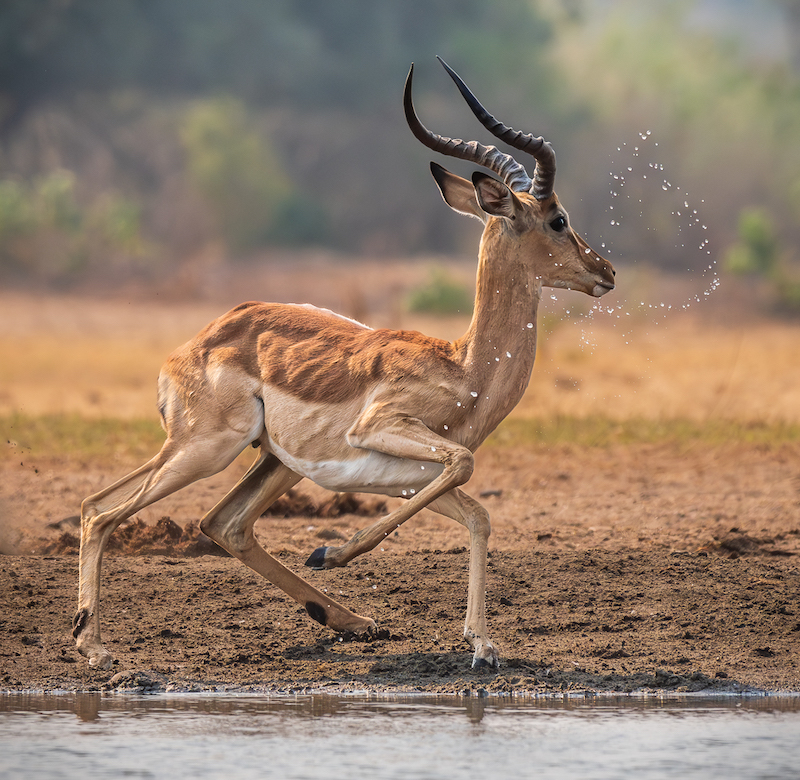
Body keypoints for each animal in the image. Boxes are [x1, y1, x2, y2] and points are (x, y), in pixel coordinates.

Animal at [73, 58, 615, 671]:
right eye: (557, 218)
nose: (605, 271)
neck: (464, 369)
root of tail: (192, 346)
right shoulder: (382, 429)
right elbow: (463, 463)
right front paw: (330, 552)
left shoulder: (410, 478)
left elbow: (479, 514)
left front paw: (482, 644)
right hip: (208, 448)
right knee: (103, 512)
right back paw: (94, 647)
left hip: (270, 460)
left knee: (214, 521)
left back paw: (354, 622)